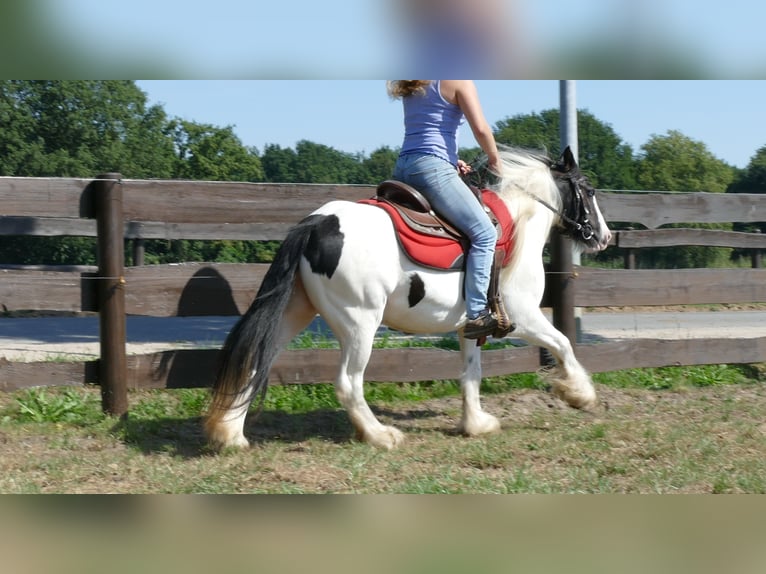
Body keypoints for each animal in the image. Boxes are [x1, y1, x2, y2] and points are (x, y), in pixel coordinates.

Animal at [204, 146, 612, 452]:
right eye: (590, 190)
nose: (604, 236)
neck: (517, 224)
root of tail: (316, 224)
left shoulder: (471, 326)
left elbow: (472, 374)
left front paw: (476, 423)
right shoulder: (523, 316)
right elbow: (563, 344)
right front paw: (580, 394)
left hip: (295, 313)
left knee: (256, 360)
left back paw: (231, 435)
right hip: (360, 324)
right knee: (348, 383)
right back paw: (379, 435)